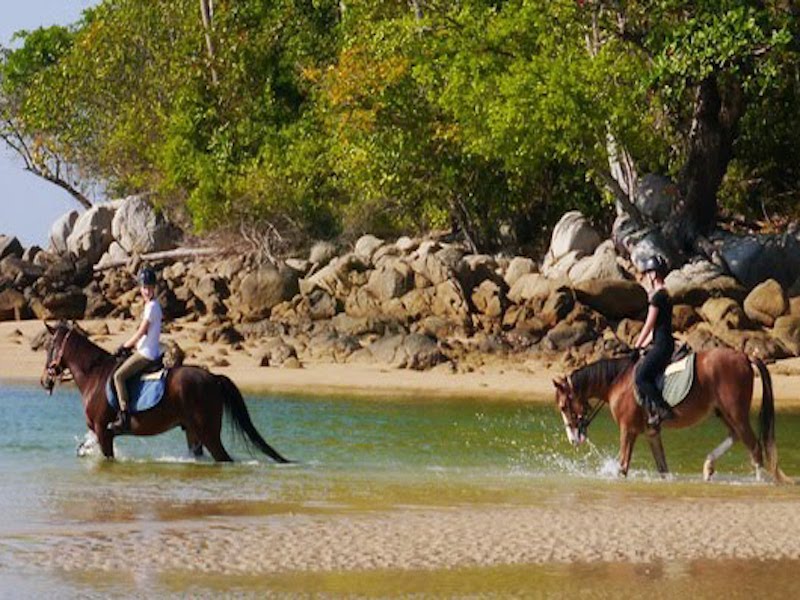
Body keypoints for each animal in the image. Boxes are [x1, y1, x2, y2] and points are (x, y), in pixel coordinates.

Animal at [40, 321, 290, 464]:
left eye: (49, 346)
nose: (44, 380)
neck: (94, 374)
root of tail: (213, 378)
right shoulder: (97, 432)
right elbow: (82, 448)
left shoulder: (104, 432)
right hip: (193, 431)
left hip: (208, 432)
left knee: (223, 458)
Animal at [552, 348, 790, 483]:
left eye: (564, 406)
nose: (572, 439)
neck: (617, 382)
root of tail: (745, 356)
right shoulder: (651, 433)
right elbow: (663, 468)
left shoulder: (628, 430)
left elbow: (623, 467)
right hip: (724, 412)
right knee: (736, 436)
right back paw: (708, 466)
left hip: (736, 413)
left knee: (754, 447)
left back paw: (757, 482)